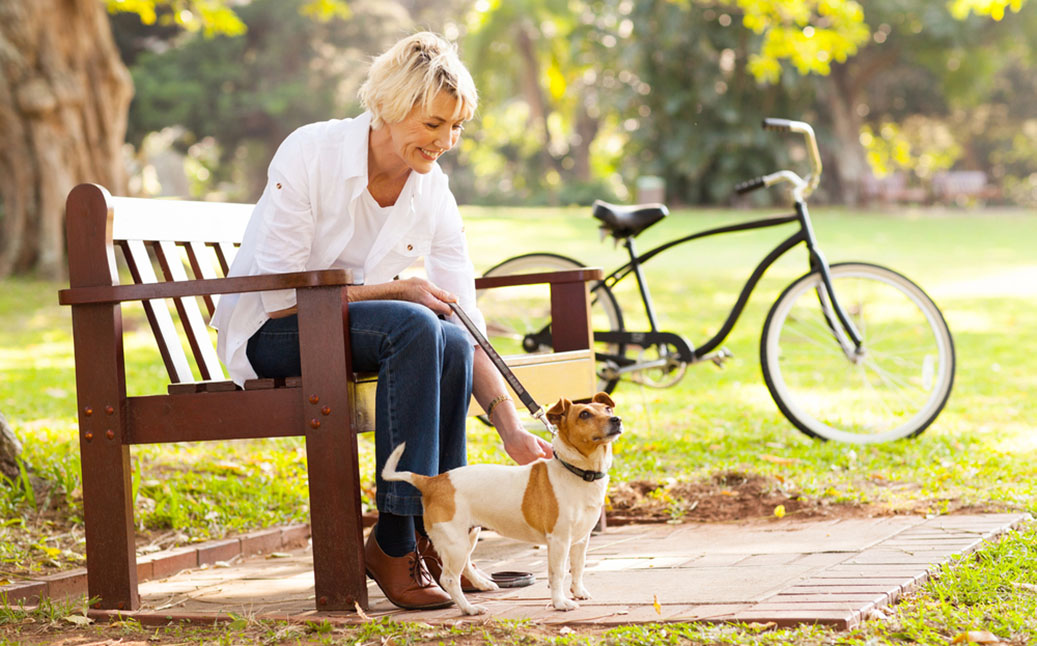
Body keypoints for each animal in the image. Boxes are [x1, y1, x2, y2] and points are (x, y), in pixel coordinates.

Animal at [383, 391, 618, 613]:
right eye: (584, 414)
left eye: (607, 408)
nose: (616, 419)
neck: (577, 472)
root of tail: (433, 481)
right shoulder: (559, 540)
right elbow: (557, 573)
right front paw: (560, 603)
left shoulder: (580, 540)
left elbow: (578, 567)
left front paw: (578, 592)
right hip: (455, 543)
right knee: (449, 579)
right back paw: (469, 609)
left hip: (468, 536)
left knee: (464, 566)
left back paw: (482, 584)